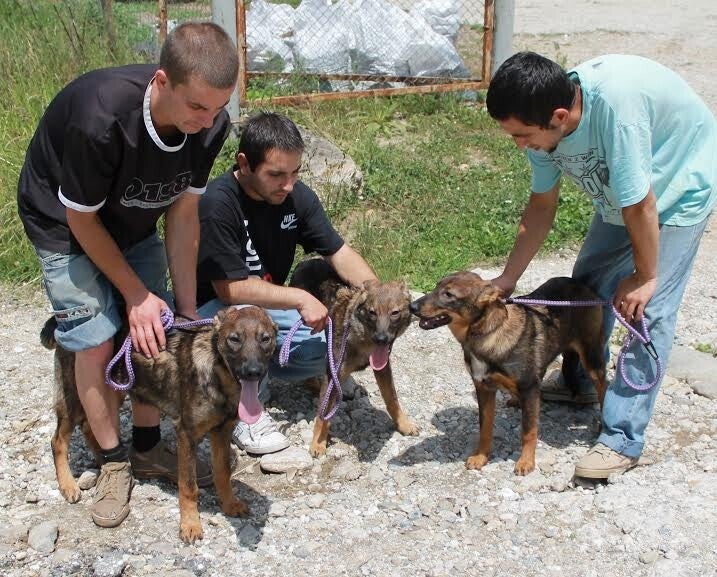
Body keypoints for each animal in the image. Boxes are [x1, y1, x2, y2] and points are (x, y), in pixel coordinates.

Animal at [42, 305, 277, 543]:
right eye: (234, 339)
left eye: (265, 339)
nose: (253, 372)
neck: (218, 374)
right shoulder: (187, 434)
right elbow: (188, 486)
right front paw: (190, 523)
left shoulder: (222, 431)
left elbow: (222, 473)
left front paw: (229, 504)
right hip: (76, 397)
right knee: (58, 440)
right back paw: (68, 484)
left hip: (114, 389)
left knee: (90, 426)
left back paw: (106, 461)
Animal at [290, 258, 419, 456]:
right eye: (372, 312)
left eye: (394, 313)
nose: (381, 339)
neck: (362, 338)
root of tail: (307, 260)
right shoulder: (333, 371)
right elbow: (323, 415)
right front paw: (318, 443)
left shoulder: (383, 367)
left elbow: (392, 398)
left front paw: (403, 424)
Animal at [410, 272, 606, 475]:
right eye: (436, 286)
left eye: (449, 294)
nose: (411, 307)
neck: (487, 334)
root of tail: (582, 285)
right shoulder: (484, 388)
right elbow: (485, 427)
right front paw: (481, 456)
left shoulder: (529, 388)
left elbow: (528, 430)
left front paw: (526, 461)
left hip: (591, 357)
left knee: (604, 386)